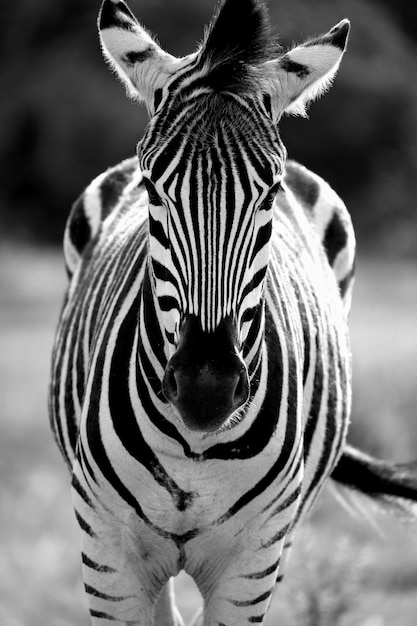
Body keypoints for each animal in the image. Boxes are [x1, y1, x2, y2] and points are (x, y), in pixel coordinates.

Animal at [48, 0, 416, 620]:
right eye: (153, 188)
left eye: (269, 194)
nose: (207, 389)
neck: (193, 450)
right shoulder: (107, 557)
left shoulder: (252, 563)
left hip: (284, 538)